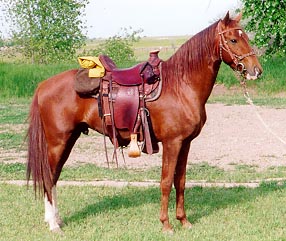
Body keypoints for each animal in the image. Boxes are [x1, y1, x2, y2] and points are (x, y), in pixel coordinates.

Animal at [27, 12, 262, 233]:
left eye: (246, 37)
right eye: (233, 40)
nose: (256, 71)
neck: (181, 85)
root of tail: (43, 85)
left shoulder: (185, 143)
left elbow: (181, 181)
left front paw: (184, 221)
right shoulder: (172, 142)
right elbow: (166, 182)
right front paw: (166, 224)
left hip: (69, 139)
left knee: (54, 177)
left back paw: (56, 219)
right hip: (58, 141)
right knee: (49, 177)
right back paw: (53, 224)